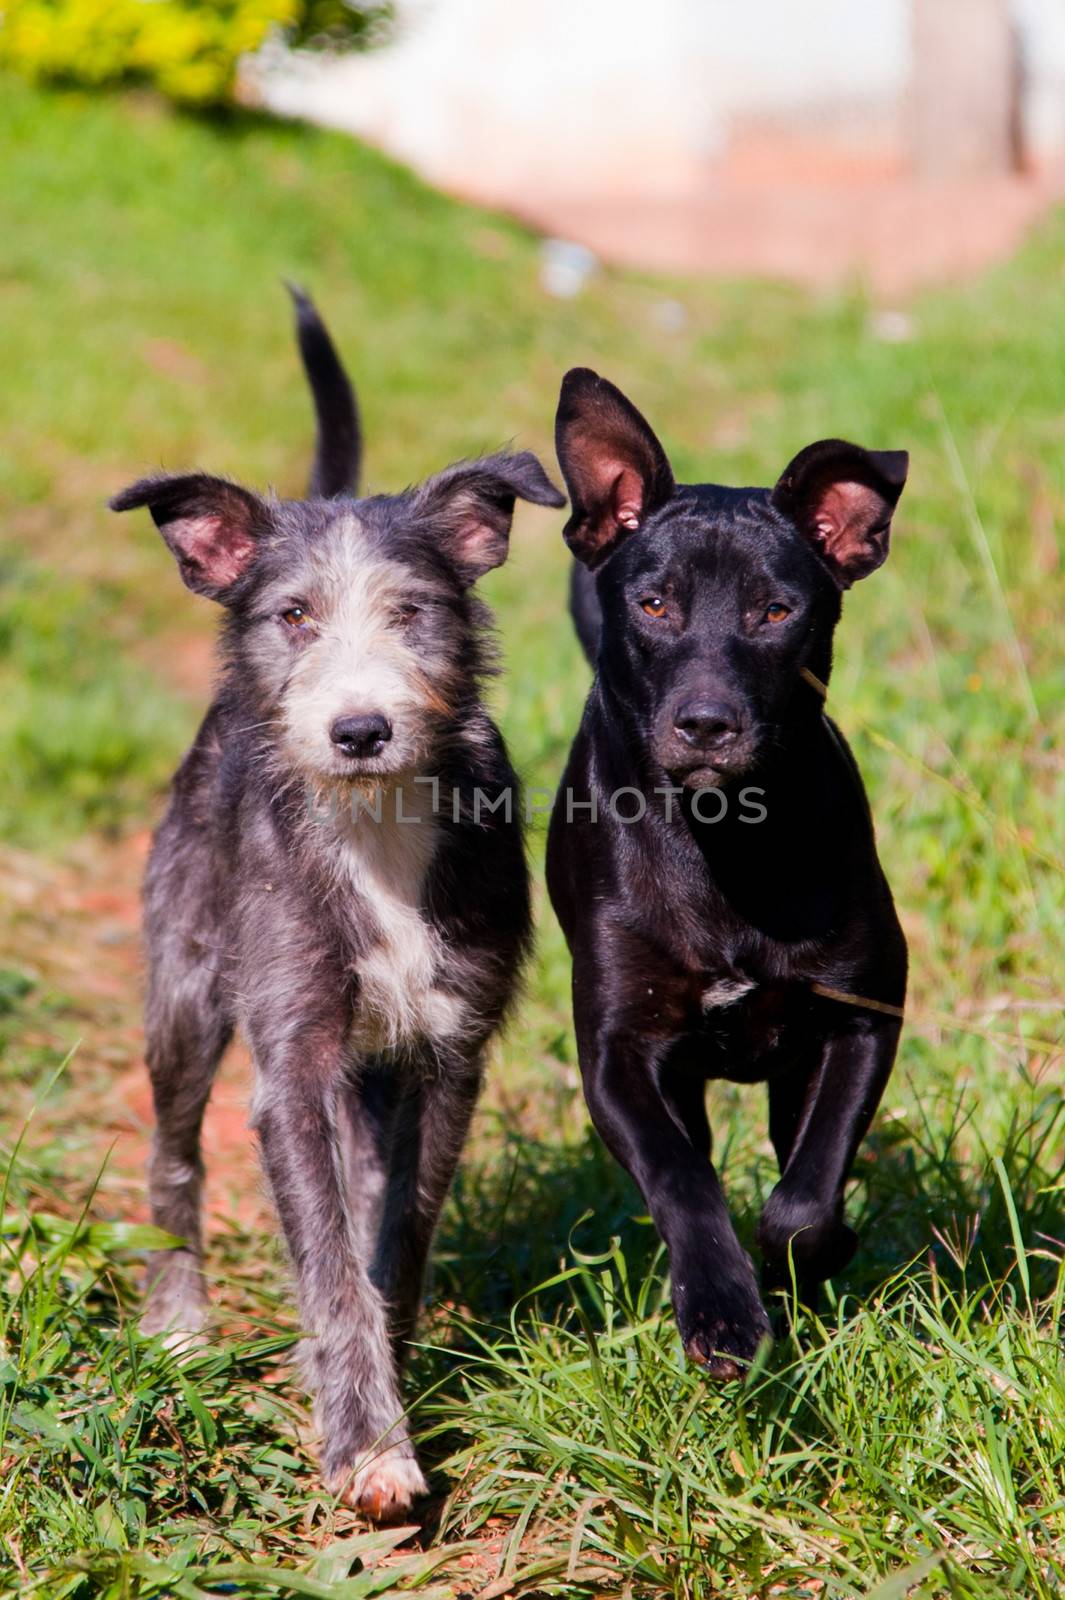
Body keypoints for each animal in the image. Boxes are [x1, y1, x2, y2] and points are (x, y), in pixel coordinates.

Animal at [111, 294, 562, 1516]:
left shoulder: (449, 1049)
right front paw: (367, 1442)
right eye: (294, 616)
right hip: (186, 983)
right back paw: (177, 1323)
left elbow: (391, 1236)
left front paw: (389, 1389)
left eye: (411, 612)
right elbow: (323, 1255)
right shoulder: (293, 1056)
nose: (359, 728)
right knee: (174, 1153)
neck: (373, 826)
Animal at [546, 366, 901, 1376]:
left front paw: (801, 1263)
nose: (706, 724)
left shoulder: (859, 1018)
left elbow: (805, 1199)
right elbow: (681, 1177)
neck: (727, 840)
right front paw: (719, 1309)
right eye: (653, 604)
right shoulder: (619, 1054)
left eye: (776, 611)